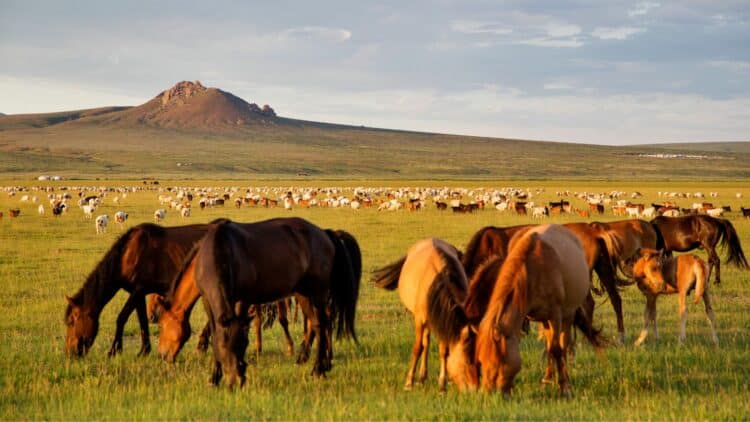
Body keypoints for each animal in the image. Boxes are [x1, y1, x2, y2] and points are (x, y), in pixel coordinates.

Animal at [64, 223, 209, 357]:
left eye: (71, 322)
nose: (70, 353)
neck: (127, 255)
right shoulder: (139, 293)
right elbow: (142, 321)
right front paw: (144, 350)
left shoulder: (138, 290)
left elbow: (121, 318)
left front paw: (114, 350)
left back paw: (202, 346)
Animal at [158, 218, 360, 388]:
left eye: (161, 324)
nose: (163, 355)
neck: (217, 251)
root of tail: (324, 233)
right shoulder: (209, 301)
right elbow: (216, 331)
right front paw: (215, 378)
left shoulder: (242, 300)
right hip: (303, 293)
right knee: (318, 324)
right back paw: (321, 365)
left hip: (317, 292)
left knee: (322, 324)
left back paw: (318, 368)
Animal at [372, 238, 474, 392]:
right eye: (467, 360)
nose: (473, 388)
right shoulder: (419, 320)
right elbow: (418, 348)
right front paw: (409, 382)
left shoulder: (442, 321)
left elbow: (443, 350)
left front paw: (442, 384)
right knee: (425, 343)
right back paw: (420, 377)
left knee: (427, 342)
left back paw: (423, 376)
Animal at [466, 225, 606, 397]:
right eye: (481, 361)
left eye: (498, 362)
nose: (489, 393)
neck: (533, 270)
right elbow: (548, 347)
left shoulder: (555, 315)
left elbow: (557, 350)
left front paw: (565, 387)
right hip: (544, 320)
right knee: (549, 343)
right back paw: (548, 377)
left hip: (567, 314)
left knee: (563, 343)